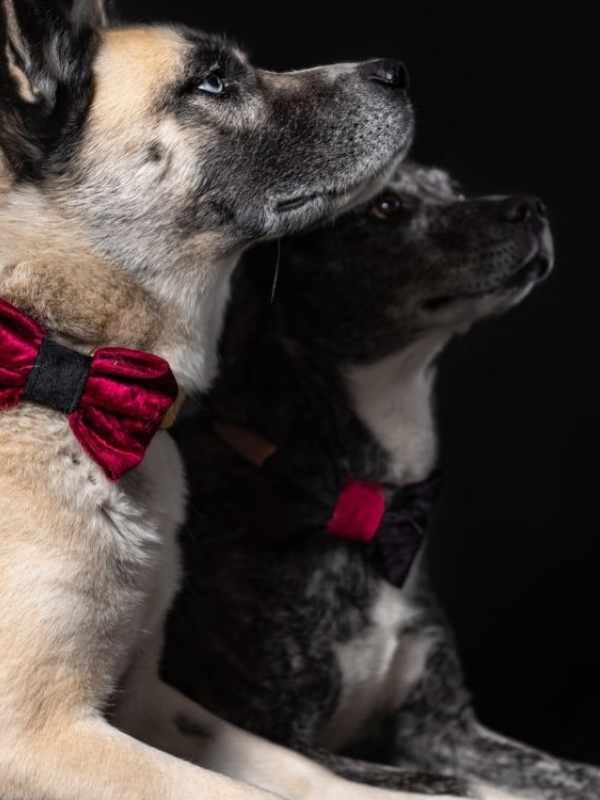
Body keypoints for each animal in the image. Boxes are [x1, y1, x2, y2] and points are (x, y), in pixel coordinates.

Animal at [0, 1, 464, 800]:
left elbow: (304, 772)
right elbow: (237, 792)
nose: (397, 72)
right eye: (211, 82)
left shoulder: (150, 703)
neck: (72, 366)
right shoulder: (40, 736)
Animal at [164, 166, 592, 796]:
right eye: (385, 207)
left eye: (453, 189)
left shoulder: (443, 726)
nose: (531, 207)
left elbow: (572, 773)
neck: (362, 498)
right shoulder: (283, 736)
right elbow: (454, 784)